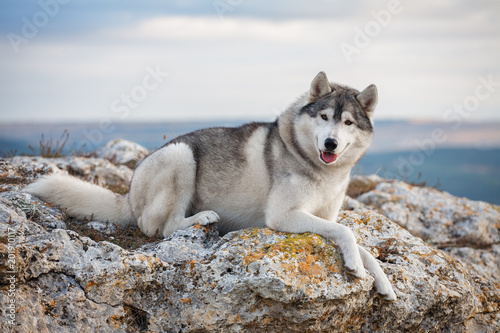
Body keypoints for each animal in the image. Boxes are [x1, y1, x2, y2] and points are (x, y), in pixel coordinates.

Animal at [25, 71, 396, 300]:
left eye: (347, 123)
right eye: (324, 117)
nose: (331, 143)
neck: (321, 171)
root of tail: (128, 193)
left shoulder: (325, 217)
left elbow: (359, 243)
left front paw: (383, 282)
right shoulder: (283, 216)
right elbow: (348, 233)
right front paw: (355, 265)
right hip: (181, 156)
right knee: (159, 227)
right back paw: (202, 218)